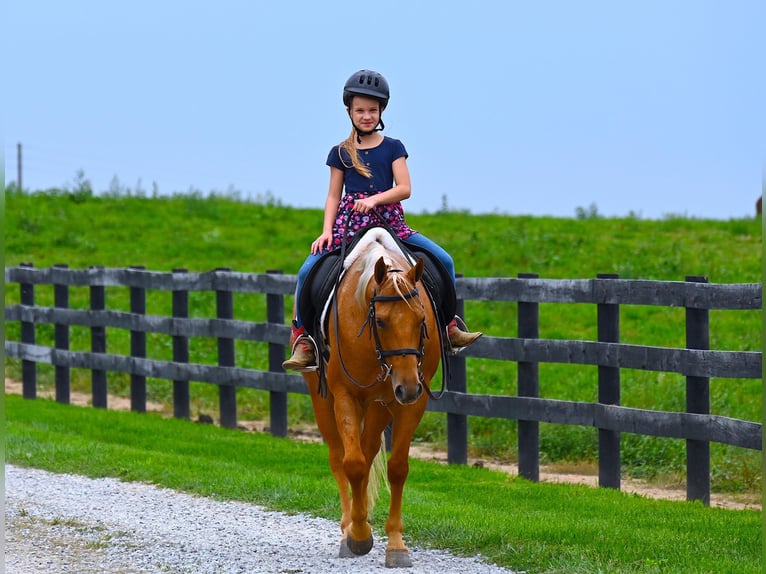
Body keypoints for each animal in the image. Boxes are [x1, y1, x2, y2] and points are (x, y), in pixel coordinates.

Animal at [304, 227, 440, 568]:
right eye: (380, 321)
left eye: (421, 320)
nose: (408, 386)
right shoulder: (345, 395)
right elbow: (351, 463)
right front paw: (358, 536)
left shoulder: (411, 403)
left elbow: (397, 468)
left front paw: (396, 544)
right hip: (321, 397)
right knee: (339, 456)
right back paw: (347, 529)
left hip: (382, 406)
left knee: (367, 452)